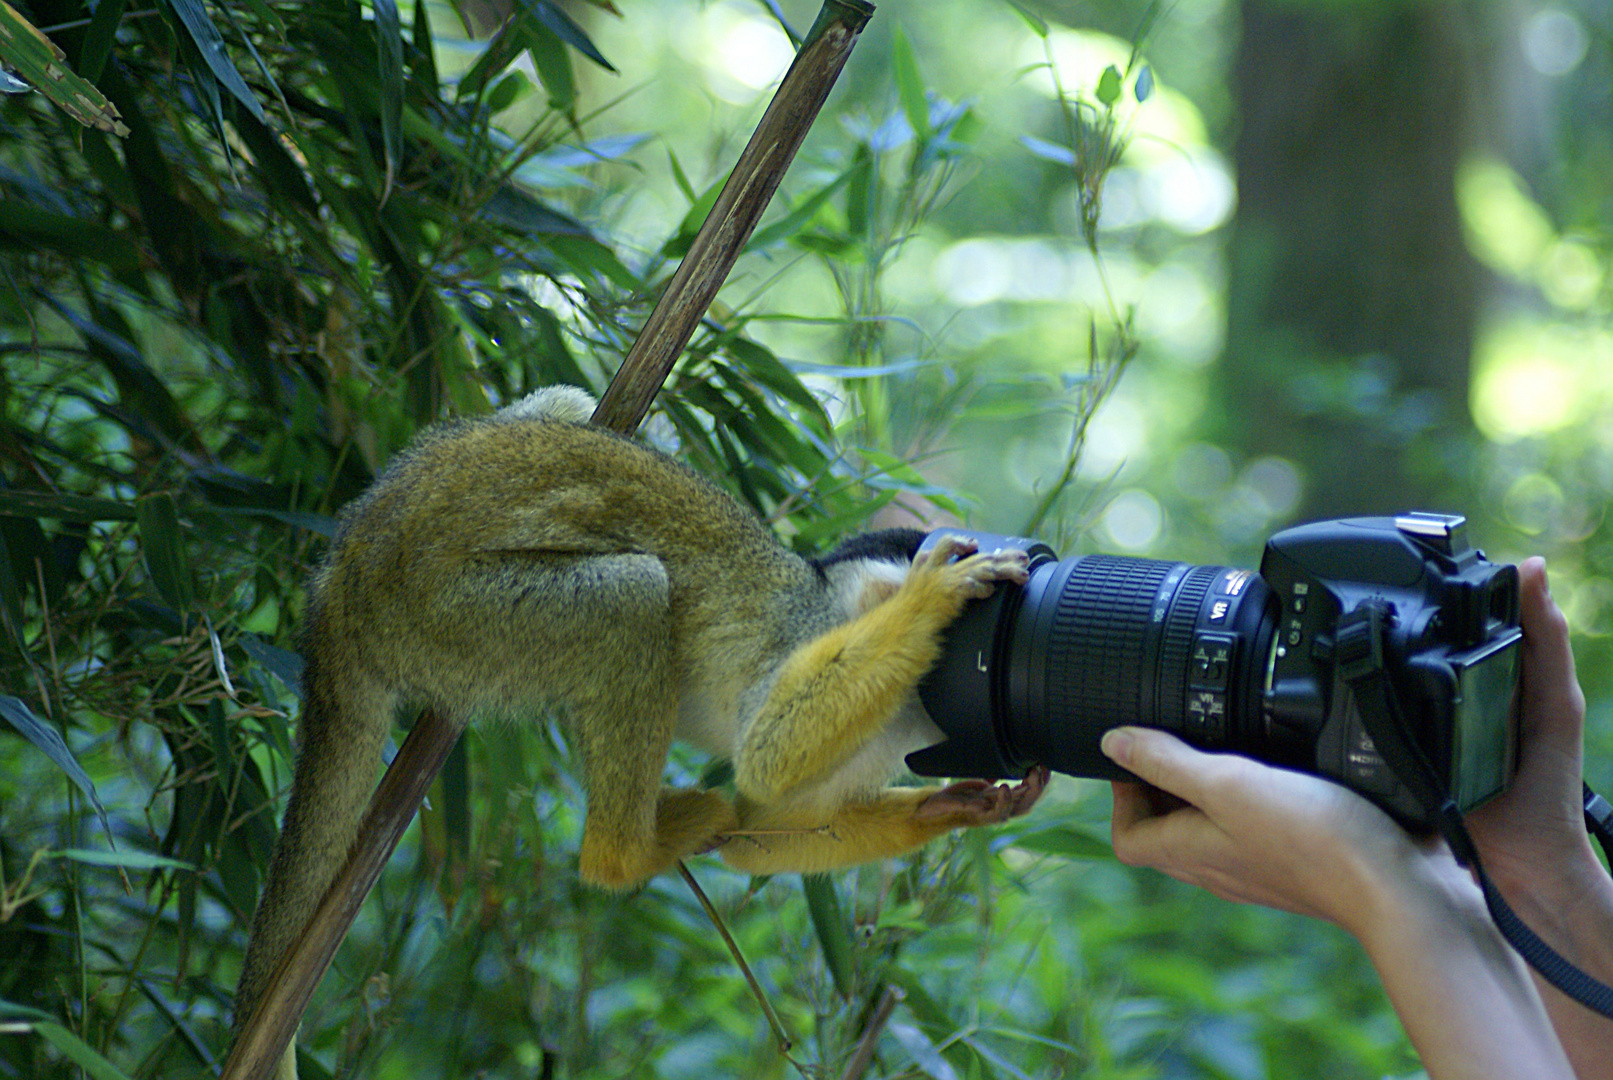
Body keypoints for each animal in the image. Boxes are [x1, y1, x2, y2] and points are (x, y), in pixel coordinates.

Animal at [235, 386, 1045, 1076]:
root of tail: (343, 572)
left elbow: (759, 822)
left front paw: (961, 806)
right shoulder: (800, 635)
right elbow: (765, 754)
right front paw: (934, 597)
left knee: (567, 406)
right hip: (445, 612)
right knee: (630, 596)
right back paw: (624, 853)